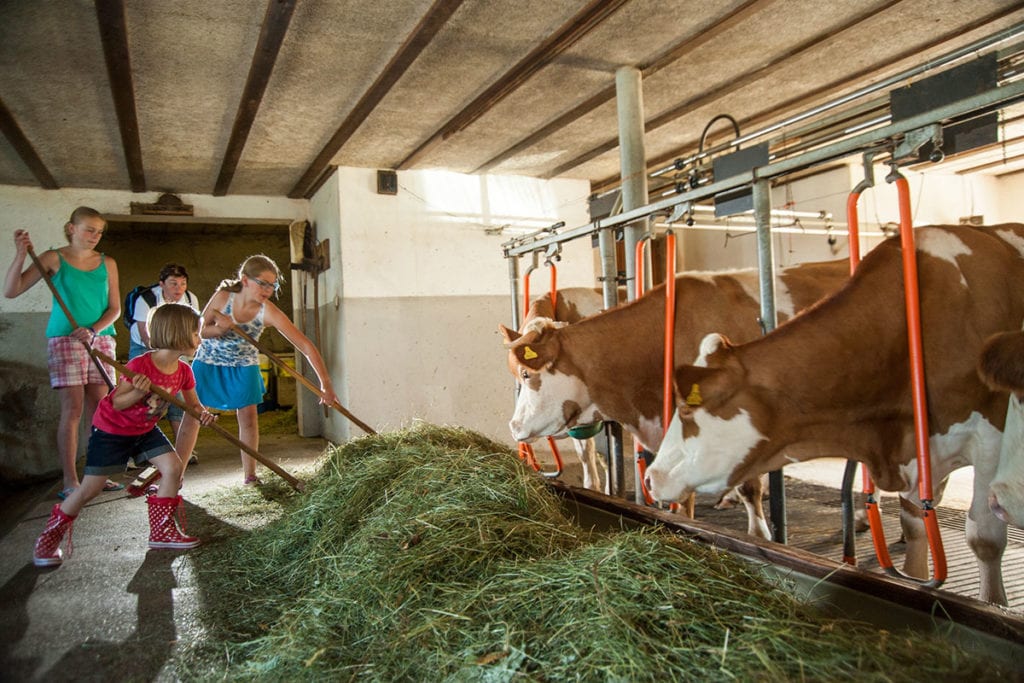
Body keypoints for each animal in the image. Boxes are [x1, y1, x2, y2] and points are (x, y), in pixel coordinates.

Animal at [647, 223, 1024, 602]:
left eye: (686, 407)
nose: (650, 477)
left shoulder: (992, 439)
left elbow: (985, 537)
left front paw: (994, 602)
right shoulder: (914, 447)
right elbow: (915, 521)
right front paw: (916, 575)